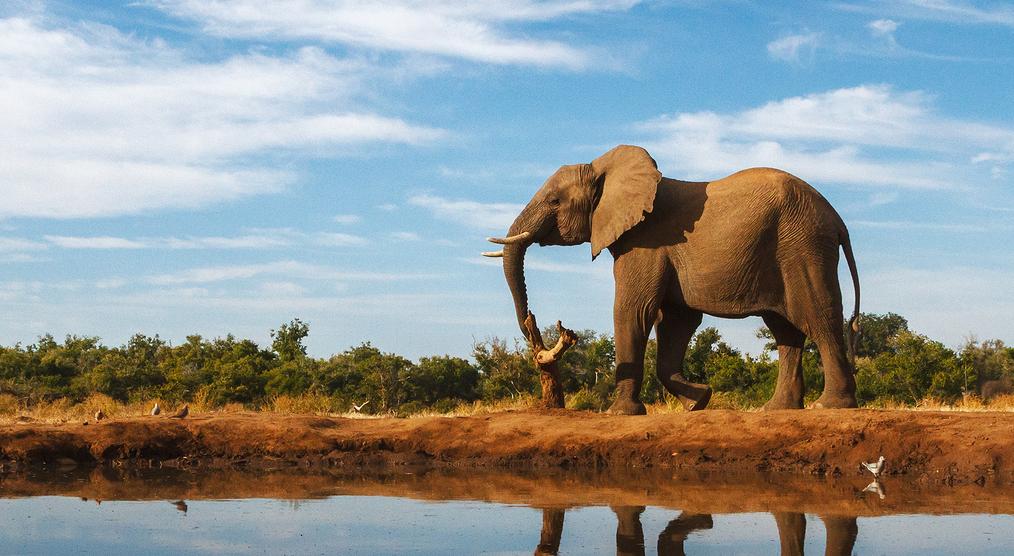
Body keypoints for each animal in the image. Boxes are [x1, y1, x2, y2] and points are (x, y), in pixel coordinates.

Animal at [486, 145, 860, 414]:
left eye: (554, 201)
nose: (534, 325)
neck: (603, 168)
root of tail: (837, 219)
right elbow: (675, 321)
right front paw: (698, 402)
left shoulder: (645, 242)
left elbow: (633, 310)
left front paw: (620, 413)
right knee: (785, 330)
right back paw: (778, 409)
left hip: (802, 247)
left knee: (817, 317)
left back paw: (829, 406)